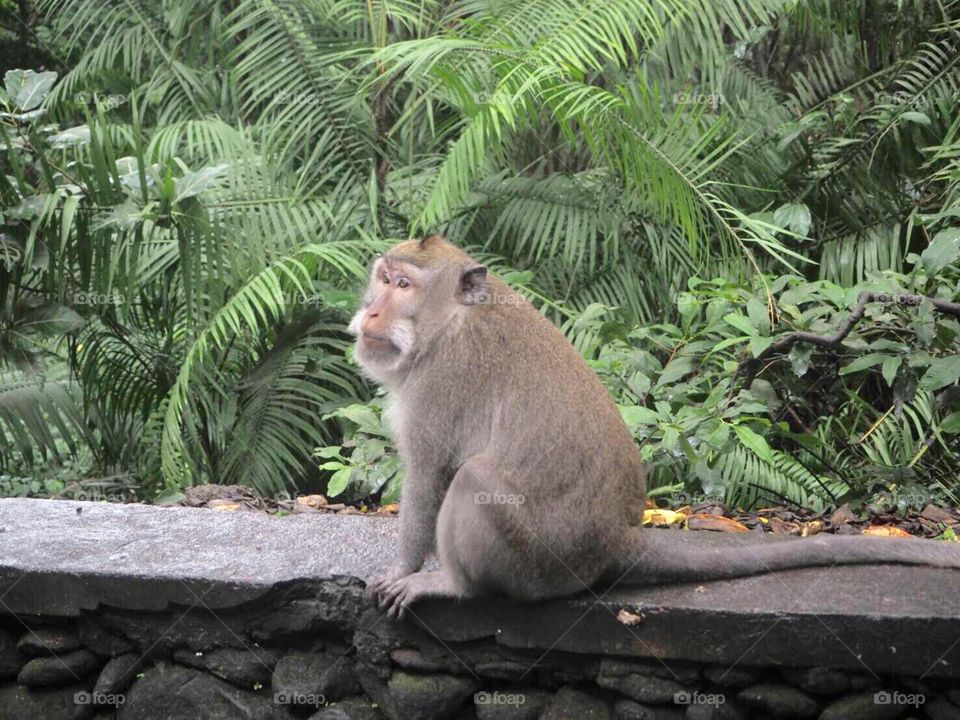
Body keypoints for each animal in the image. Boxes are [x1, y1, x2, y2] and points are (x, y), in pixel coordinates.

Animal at [347, 235, 960, 619]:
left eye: (404, 286)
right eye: (382, 279)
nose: (372, 311)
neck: (451, 323)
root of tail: (619, 538)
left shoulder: (440, 384)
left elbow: (430, 476)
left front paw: (404, 567)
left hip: (539, 560)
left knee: (473, 479)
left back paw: (454, 586)